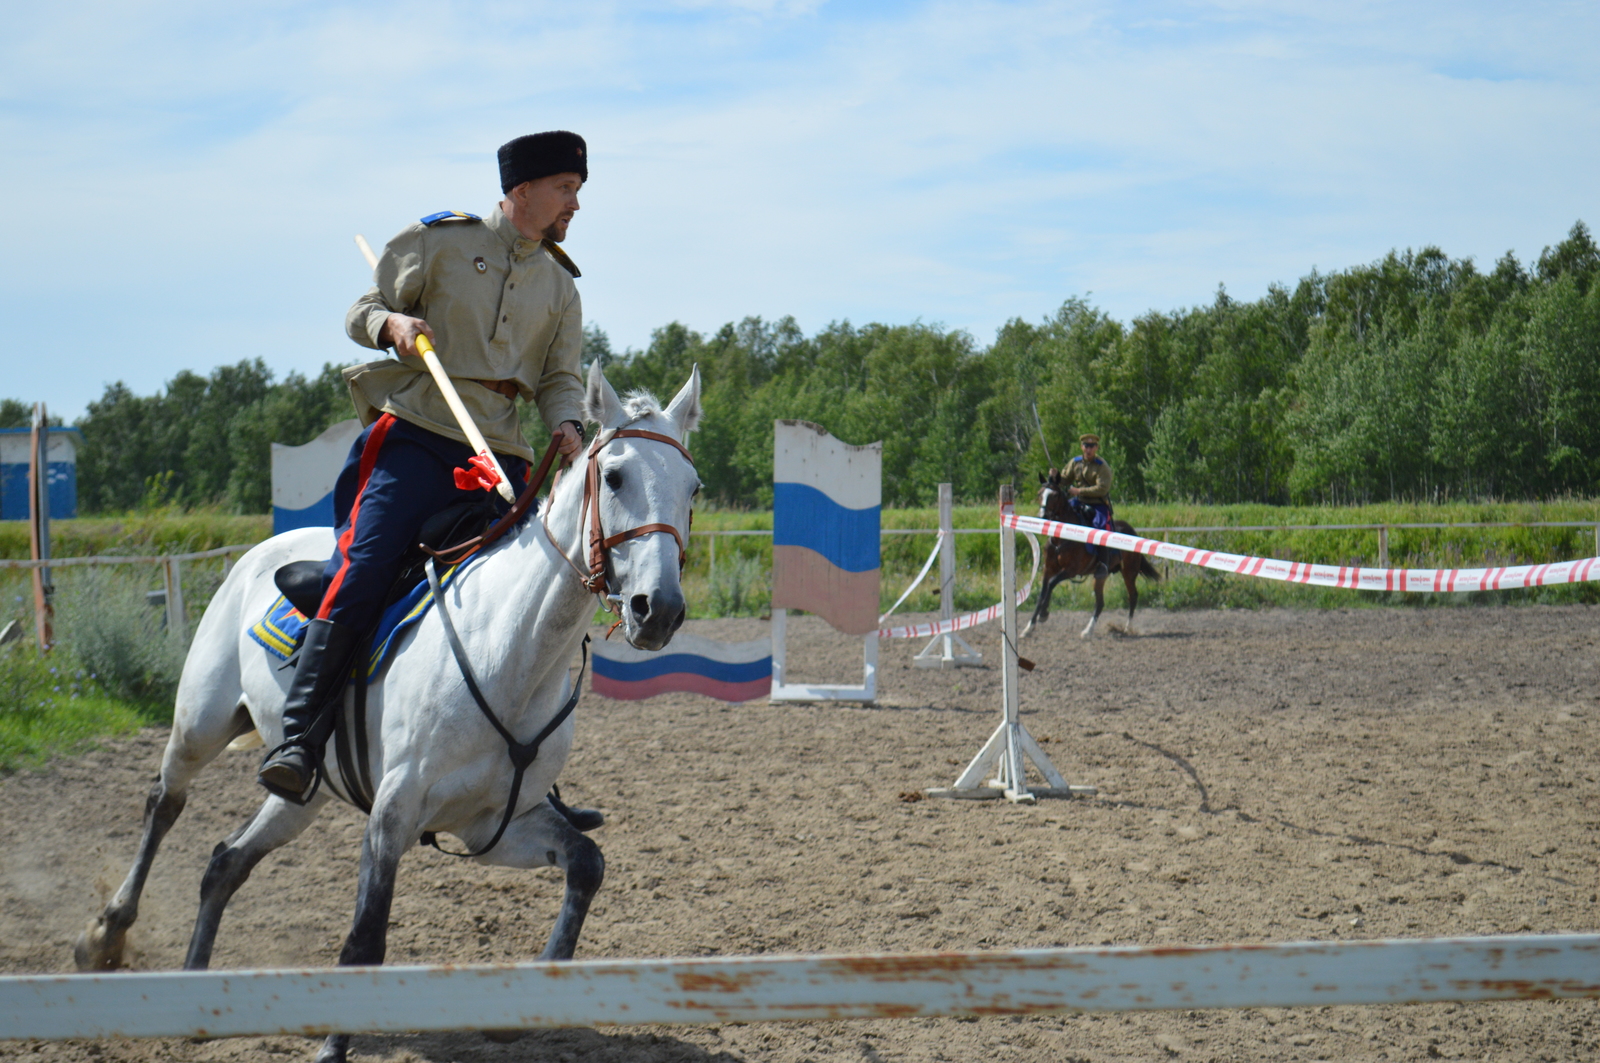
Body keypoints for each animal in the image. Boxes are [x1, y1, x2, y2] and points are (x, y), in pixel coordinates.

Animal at [75, 361, 700, 1056]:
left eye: (694, 488)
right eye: (614, 475)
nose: (658, 608)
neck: (510, 653)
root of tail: (260, 553)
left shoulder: (493, 823)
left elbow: (586, 865)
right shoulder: (394, 813)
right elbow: (366, 937)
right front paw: (331, 1047)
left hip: (307, 792)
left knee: (225, 862)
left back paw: (195, 982)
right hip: (200, 723)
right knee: (165, 802)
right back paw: (108, 931)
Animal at [1024, 473, 1164, 640]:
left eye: (1055, 495)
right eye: (1040, 494)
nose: (1043, 516)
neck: (1062, 538)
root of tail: (1133, 532)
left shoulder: (1071, 570)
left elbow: (1051, 584)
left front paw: (1044, 614)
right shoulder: (1049, 569)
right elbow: (1042, 594)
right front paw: (1029, 627)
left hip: (1129, 573)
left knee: (1132, 596)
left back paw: (1122, 628)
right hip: (1101, 577)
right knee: (1101, 602)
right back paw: (1090, 630)